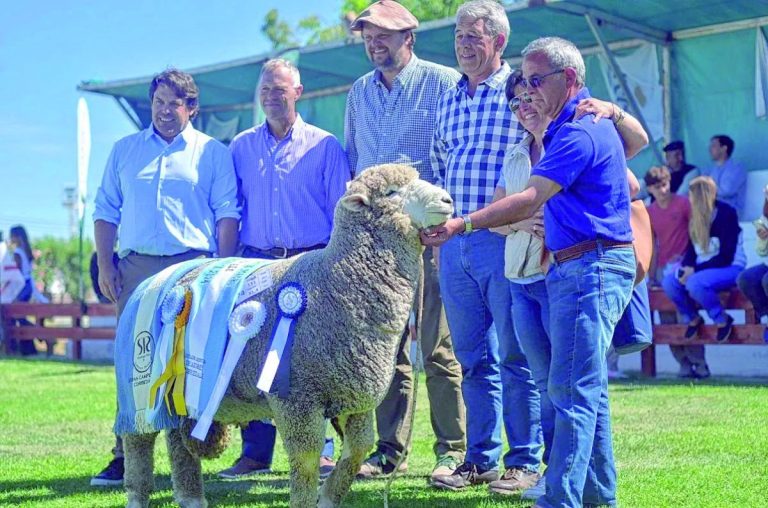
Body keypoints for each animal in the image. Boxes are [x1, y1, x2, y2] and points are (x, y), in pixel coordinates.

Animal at [121, 164, 456, 508]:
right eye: (391, 192)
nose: (447, 200)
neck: (337, 282)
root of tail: (151, 281)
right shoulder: (296, 398)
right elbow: (307, 459)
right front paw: (310, 498)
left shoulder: (354, 397)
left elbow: (359, 448)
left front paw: (330, 496)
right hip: (140, 386)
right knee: (138, 442)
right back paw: (137, 495)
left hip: (181, 391)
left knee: (176, 440)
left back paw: (191, 498)